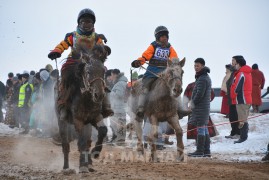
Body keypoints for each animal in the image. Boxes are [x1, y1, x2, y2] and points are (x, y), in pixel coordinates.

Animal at [57, 44, 109, 173]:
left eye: (103, 71)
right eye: (88, 72)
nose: (99, 95)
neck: (86, 99)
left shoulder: (95, 117)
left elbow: (103, 130)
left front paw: (96, 153)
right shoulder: (78, 120)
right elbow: (81, 142)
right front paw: (82, 166)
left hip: (88, 124)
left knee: (88, 141)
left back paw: (89, 163)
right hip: (62, 121)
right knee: (66, 144)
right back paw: (66, 168)